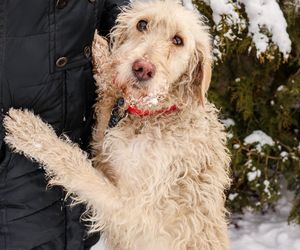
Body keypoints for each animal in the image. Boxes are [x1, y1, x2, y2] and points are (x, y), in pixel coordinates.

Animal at [3, 0, 231, 249]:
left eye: (178, 40)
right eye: (142, 24)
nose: (142, 68)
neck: (152, 114)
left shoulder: (129, 209)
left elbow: (77, 165)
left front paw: (30, 132)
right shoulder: (103, 141)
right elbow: (106, 85)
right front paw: (98, 45)